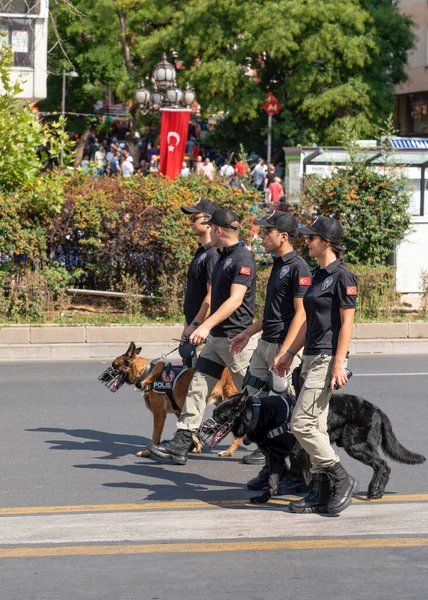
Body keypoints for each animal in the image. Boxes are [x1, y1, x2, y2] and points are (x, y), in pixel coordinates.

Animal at [110, 342, 239, 460]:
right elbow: (190, 430)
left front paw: (148, 451)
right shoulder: (180, 411)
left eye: (115, 365)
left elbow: (155, 437)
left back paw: (229, 451)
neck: (145, 372)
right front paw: (197, 446)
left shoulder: (159, 415)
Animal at [208, 390, 424, 502]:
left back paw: (374, 491)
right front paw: (264, 498)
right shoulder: (276, 458)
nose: (204, 428)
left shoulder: (300, 455)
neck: (260, 414)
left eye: (218, 415)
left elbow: (308, 478)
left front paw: (311, 498)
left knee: (382, 465)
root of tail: (377, 409)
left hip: (355, 445)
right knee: (384, 466)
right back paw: (378, 492)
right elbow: (272, 481)